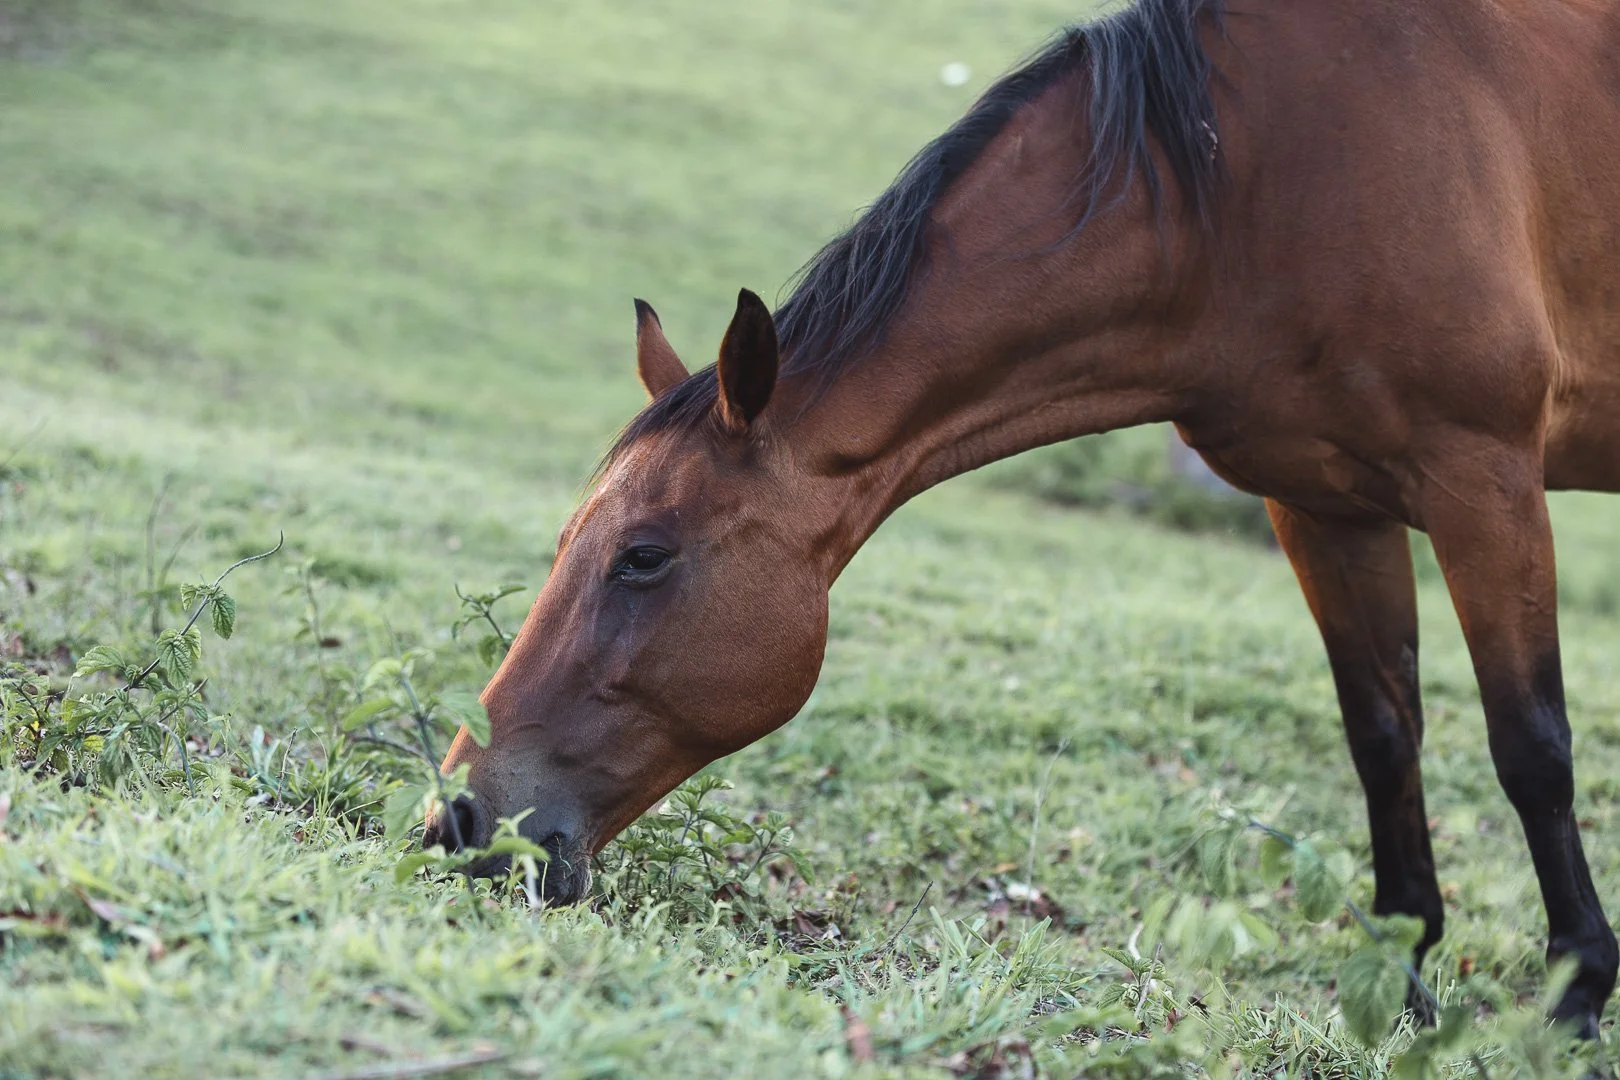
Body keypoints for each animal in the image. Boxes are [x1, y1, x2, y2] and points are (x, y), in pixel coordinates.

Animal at [424, 0, 1620, 1034]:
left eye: (643, 556)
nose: (461, 816)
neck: (1253, 189)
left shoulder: (1482, 478)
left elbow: (1531, 747)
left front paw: (1574, 997)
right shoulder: (1324, 505)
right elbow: (1383, 738)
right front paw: (1405, 988)